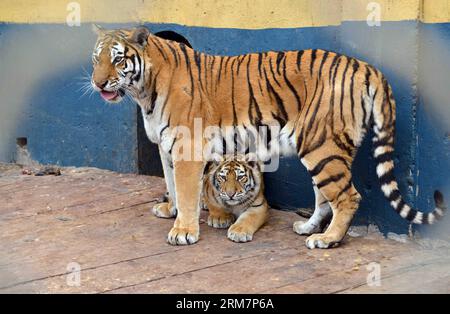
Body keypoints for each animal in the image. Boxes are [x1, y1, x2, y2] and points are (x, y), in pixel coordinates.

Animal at [89, 25, 444, 249]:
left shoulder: (187, 148)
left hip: (322, 147)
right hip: (319, 150)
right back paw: (308, 228)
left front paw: (184, 231)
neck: (142, 93)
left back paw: (326, 240)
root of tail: (367, 67)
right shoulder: (165, 147)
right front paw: (172, 211)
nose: (98, 82)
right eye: (96, 58)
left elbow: (187, 191)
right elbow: (172, 184)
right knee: (324, 197)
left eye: (118, 58)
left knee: (347, 197)